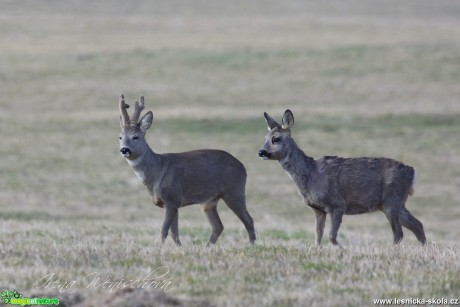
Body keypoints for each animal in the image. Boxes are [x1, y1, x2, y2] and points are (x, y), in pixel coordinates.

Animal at [118, 95, 255, 247]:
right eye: (120, 137)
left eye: (136, 136)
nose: (124, 149)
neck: (156, 172)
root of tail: (242, 166)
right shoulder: (172, 203)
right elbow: (174, 233)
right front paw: (179, 248)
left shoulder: (172, 198)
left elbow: (163, 231)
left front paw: (159, 247)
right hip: (208, 202)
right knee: (218, 226)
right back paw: (208, 247)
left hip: (234, 191)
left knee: (249, 220)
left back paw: (252, 245)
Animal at [256, 110, 426, 248]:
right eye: (265, 137)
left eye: (276, 139)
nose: (261, 152)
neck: (311, 175)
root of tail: (413, 171)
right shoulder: (318, 209)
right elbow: (317, 236)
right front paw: (319, 250)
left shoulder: (337, 204)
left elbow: (331, 236)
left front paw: (342, 249)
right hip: (395, 203)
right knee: (417, 225)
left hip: (392, 199)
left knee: (399, 233)